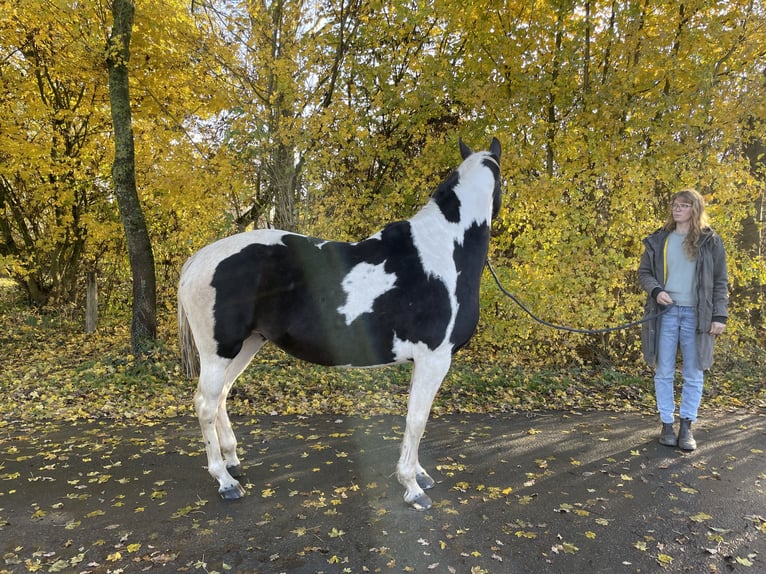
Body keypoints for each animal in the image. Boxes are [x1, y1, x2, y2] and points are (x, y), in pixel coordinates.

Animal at [179, 140, 504, 512]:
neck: (443, 250)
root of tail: (197, 260)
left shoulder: (423, 361)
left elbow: (414, 417)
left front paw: (419, 475)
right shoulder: (434, 359)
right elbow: (417, 420)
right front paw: (412, 487)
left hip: (247, 345)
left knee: (221, 396)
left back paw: (233, 461)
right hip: (219, 351)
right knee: (205, 404)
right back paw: (225, 481)